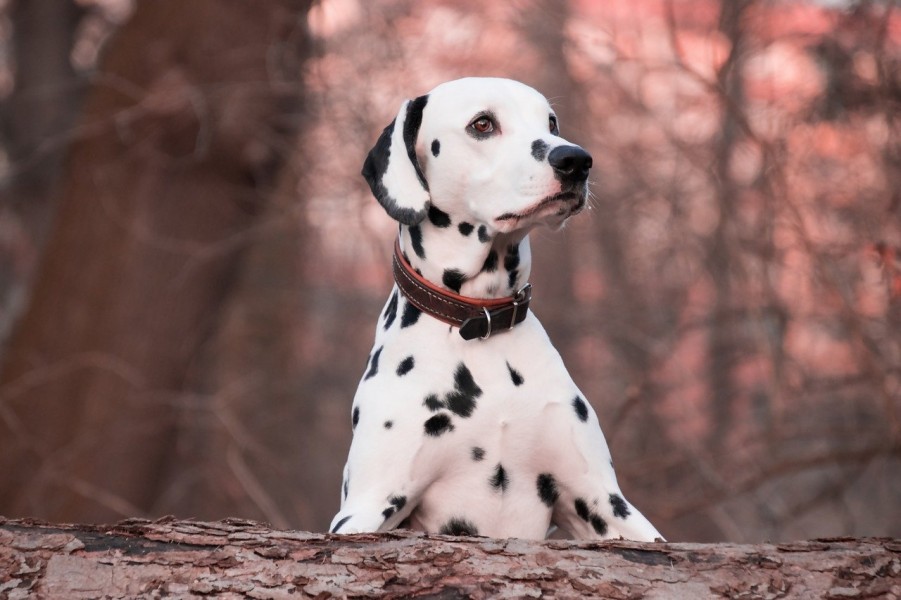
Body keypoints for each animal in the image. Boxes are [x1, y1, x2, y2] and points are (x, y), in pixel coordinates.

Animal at [330, 77, 660, 540]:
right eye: (482, 124)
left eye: (551, 122)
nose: (576, 159)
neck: (480, 322)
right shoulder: (367, 506)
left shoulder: (606, 503)